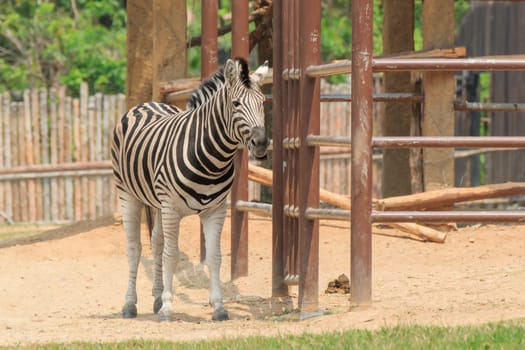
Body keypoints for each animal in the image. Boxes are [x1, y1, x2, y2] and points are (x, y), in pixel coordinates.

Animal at [109, 58, 266, 322]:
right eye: (236, 104)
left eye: (263, 102)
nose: (262, 143)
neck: (211, 159)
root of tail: (146, 104)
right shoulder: (172, 208)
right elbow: (171, 255)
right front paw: (168, 308)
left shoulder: (215, 210)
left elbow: (214, 257)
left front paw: (218, 307)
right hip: (128, 194)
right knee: (134, 247)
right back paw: (130, 305)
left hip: (157, 203)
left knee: (156, 242)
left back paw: (156, 298)